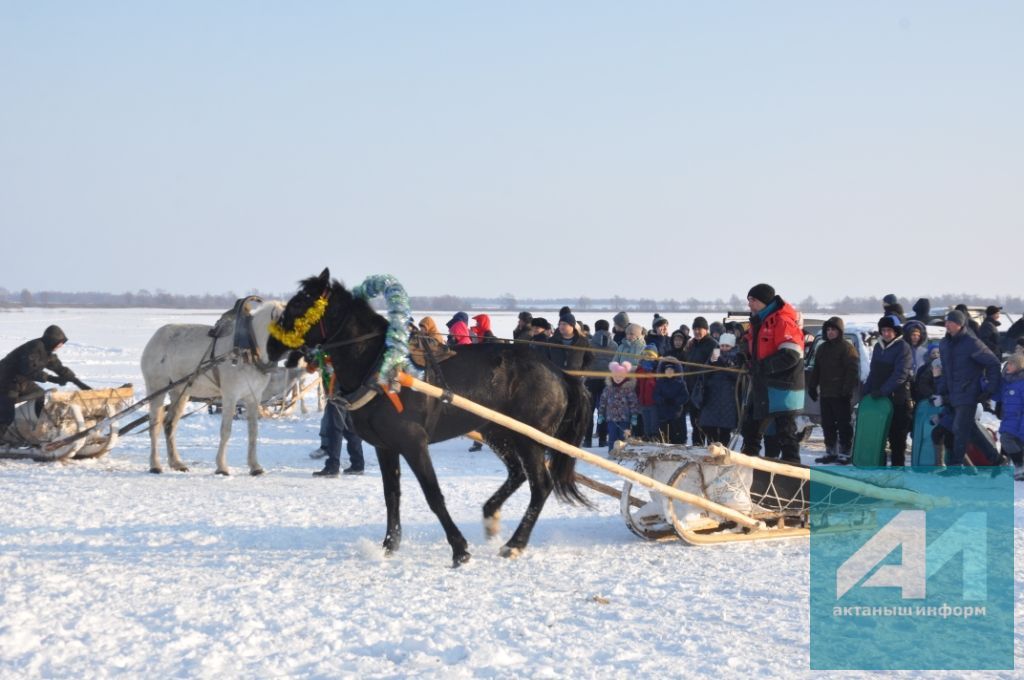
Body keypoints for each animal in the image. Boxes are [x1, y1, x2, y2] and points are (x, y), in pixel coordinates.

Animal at [140, 301, 284, 475]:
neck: (249, 348)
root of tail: (155, 337)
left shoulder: (253, 397)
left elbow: (253, 431)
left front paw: (255, 467)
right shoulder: (230, 395)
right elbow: (226, 430)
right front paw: (222, 467)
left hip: (180, 392)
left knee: (169, 425)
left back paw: (177, 463)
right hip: (156, 388)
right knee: (154, 426)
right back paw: (155, 465)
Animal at [270, 268, 593, 565]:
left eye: (300, 304)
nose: (272, 344)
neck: (381, 368)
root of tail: (558, 372)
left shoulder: (413, 443)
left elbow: (433, 494)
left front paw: (459, 549)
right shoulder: (385, 446)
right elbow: (392, 496)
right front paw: (389, 545)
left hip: (528, 437)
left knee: (540, 485)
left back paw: (515, 543)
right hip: (497, 432)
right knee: (517, 473)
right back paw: (491, 516)